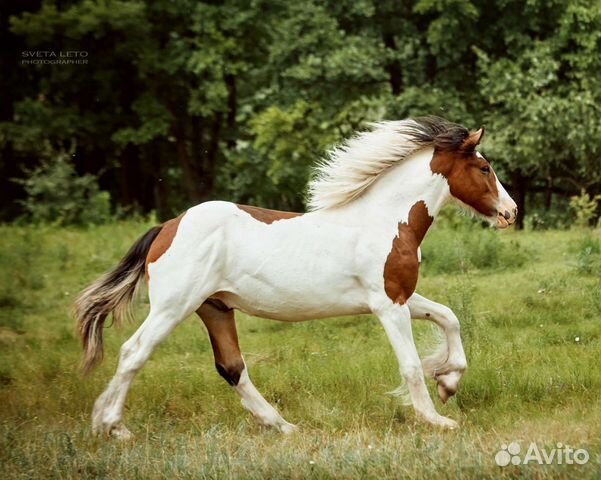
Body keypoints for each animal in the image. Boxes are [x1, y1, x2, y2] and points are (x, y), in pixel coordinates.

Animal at [75, 116, 516, 438]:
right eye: (484, 168)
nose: (511, 212)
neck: (385, 220)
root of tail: (167, 227)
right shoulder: (388, 304)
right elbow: (408, 363)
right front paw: (438, 418)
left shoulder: (402, 295)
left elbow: (448, 317)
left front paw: (449, 382)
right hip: (174, 306)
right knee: (134, 352)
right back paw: (113, 427)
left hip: (214, 308)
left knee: (232, 367)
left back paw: (283, 426)